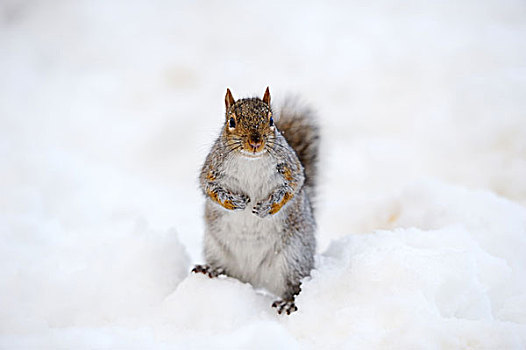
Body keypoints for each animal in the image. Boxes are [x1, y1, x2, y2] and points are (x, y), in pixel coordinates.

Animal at [192, 87, 320, 314]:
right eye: (231, 121)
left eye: (271, 120)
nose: (255, 141)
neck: (250, 160)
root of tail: (252, 277)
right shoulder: (211, 168)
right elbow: (209, 188)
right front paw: (233, 201)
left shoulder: (291, 168)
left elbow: (293, 186)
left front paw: (268, 207)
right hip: (216, 249)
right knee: (223, 269)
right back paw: (210, 270)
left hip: (294, 258)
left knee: (294, 287)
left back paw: (288, 303)